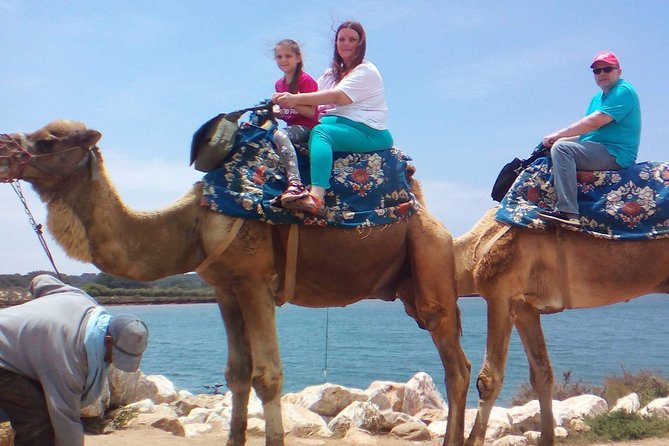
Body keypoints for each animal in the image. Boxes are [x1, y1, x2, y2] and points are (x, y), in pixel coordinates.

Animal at [1, 120, 471, 446]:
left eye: (48, 140)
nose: (4, 148)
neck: (193, 224)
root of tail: (423, 206)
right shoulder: (225, 290)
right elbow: (238, 373)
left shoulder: (254, 282)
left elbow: (269, 375)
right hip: (410, 284)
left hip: (430, 256)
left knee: (457, 366)